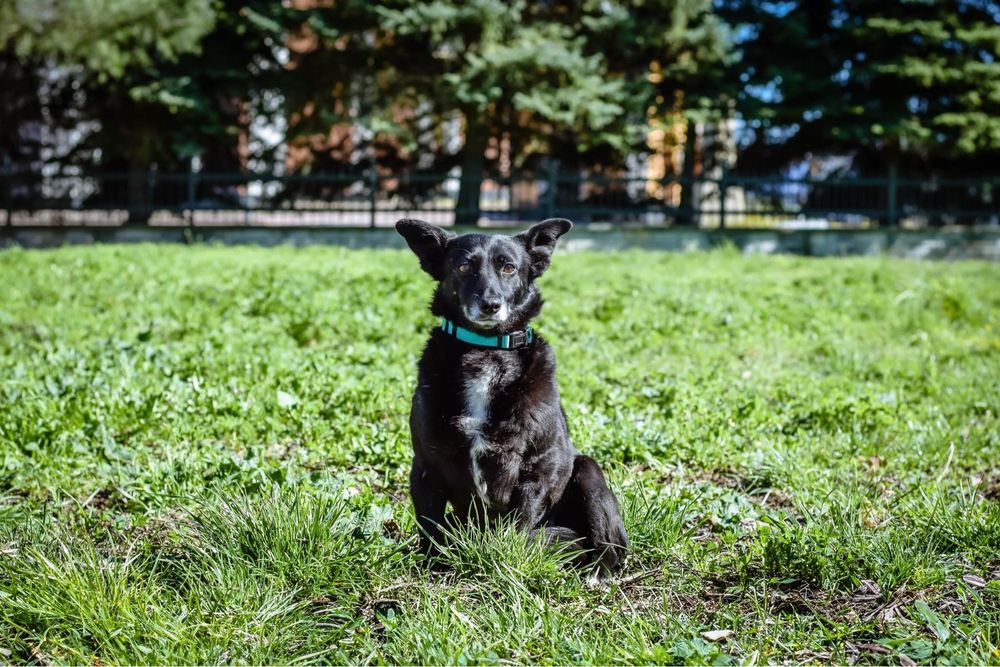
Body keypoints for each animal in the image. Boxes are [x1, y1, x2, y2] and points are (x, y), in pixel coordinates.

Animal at [394, 218, 628, 576]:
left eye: (508, 267)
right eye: (463, 267)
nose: (490, 304)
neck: (485, 350)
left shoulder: (538, 468)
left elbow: (516, 530)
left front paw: (505, 563)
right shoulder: (425, 467)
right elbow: (430, 528)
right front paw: (430, 568)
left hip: (588, 473)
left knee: (607, 546)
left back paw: (597, 572)